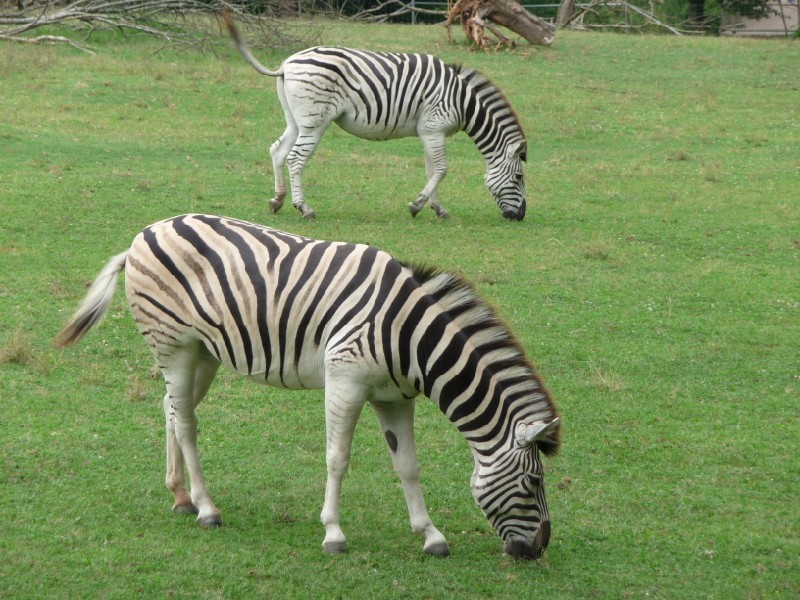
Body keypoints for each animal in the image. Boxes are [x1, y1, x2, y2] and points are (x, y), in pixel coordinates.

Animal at [55, 214, 559, 558]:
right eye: (534, 481)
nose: (538, 550)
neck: (409, 337)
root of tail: (146, 233)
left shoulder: (394, 397)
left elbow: (408, 466)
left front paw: (431, 535)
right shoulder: (345, 381)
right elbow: (338, 459)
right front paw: (333, 533)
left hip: (202, 352)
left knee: (172, 409)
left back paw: (180, 496)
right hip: (173, 345)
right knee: (186, 424)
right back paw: (206, 508)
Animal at [224, 11, 528, 221]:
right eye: (519, 177)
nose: (519, 216)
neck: (462, 102)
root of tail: (287, 64)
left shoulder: (429, 131)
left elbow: (432, 170)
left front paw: (437, 208)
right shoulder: (434, 126)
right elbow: (441, 170)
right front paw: (417, 206)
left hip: (296, 119)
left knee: (277, 151)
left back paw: (278, 200)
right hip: (315, 122)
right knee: (295, 158)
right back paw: (304, 208)